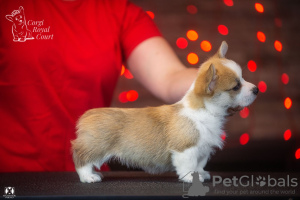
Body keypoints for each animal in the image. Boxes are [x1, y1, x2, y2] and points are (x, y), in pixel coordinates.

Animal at [72, 41, 258, 184]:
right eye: (236, 86)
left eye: (243, 79)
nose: (256, 89)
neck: (205, 111)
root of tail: (87, 115)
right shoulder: (185, 149)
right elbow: (189, 166)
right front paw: (191, 178)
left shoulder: (203, 149)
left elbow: (199, 164)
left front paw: (201, 174)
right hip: (96, 147)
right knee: (81, 159)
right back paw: (88, 176)